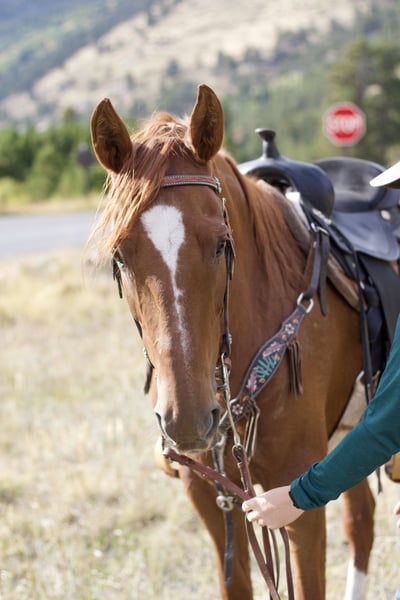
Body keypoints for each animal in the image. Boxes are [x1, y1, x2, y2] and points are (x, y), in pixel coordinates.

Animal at [89, 84, 375, 599]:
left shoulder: (298, 501)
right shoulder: (212, 498)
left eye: (222, 243)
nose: (187, 420)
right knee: (362, 520)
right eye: (119, 255)